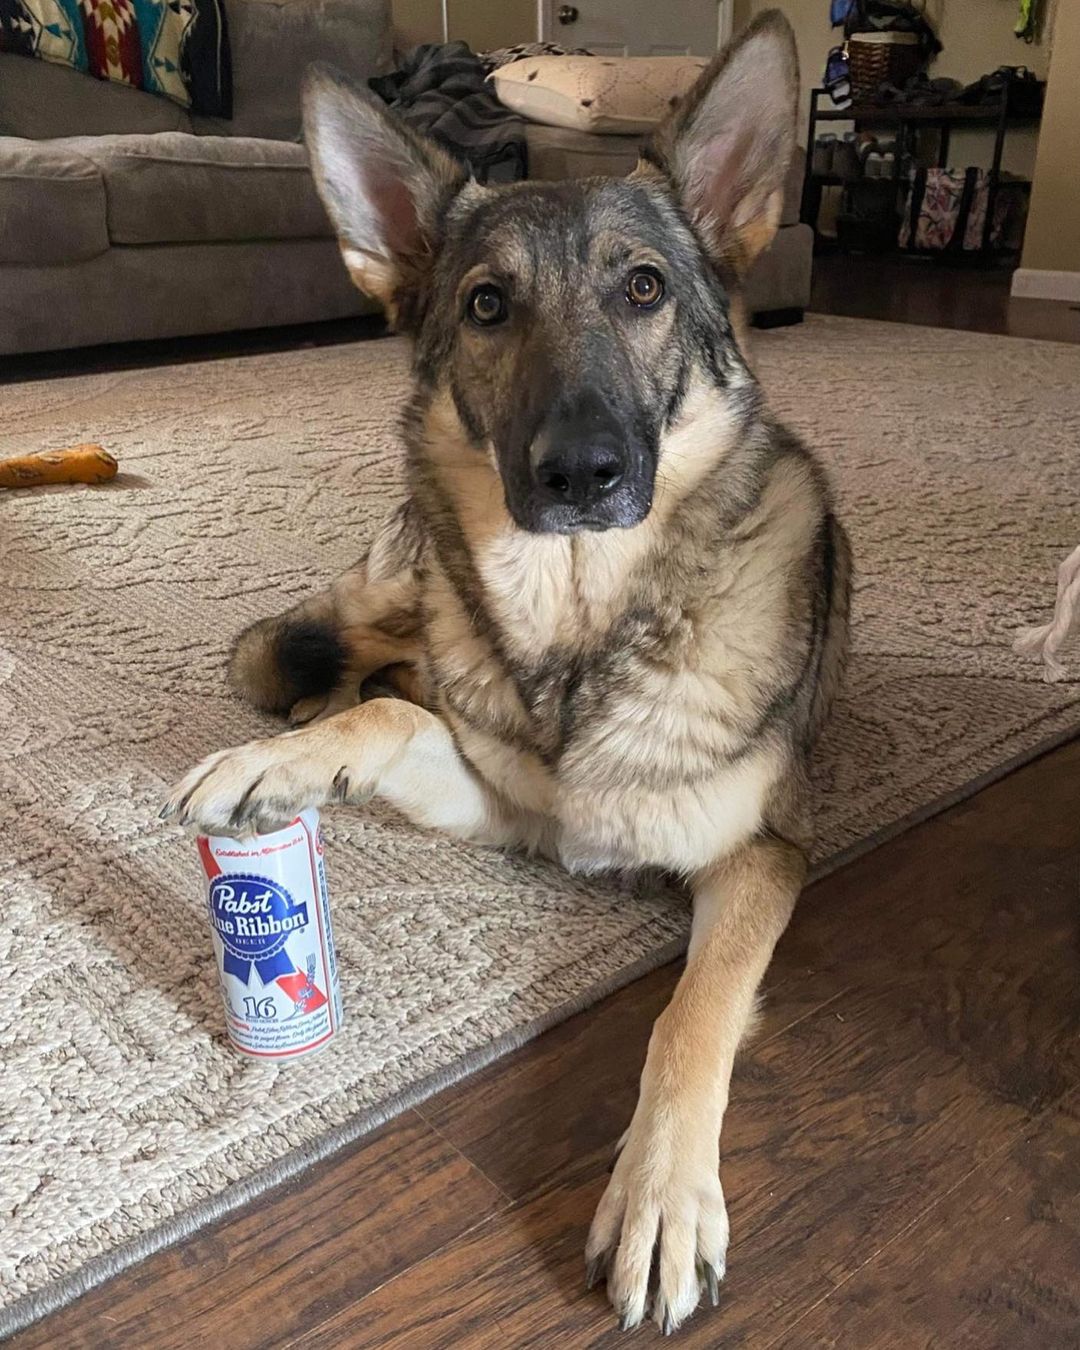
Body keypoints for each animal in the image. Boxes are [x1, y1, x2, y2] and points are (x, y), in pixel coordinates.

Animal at [162, 10, 853, 1333]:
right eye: (488, 305)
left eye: (644, 289)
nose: (578, 472)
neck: (583, 623)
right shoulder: (510, 804)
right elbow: (385, 721)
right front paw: (275, 770)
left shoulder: (759, 858)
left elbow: (690, 1019)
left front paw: (661, 1199)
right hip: (408, 578)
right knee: (336, 653)